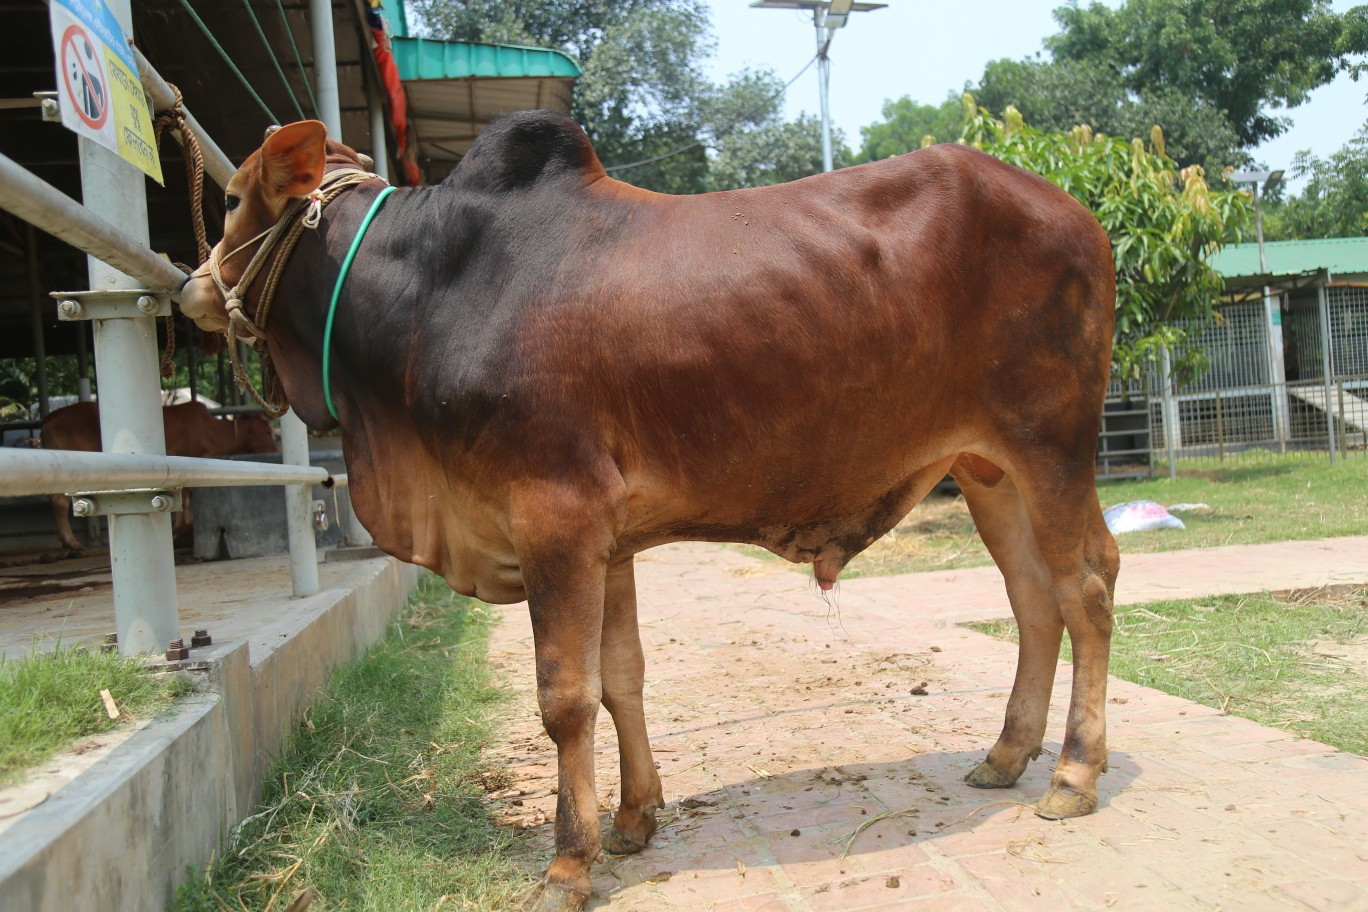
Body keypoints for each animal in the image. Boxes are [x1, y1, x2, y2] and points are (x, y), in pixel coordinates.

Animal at [41, 400, 277, 550]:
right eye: (267, 431)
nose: (275, 448)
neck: (209, 430)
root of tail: (51, 416)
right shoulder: (184, 457)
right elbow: (187, 496)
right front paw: (179, 529)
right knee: (59, 503)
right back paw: (72, 543)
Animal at [177, 113, 1120, 912]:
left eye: (230, 200)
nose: (189, 288)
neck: (432, 295)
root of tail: (1079, 213)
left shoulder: (554, 519)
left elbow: (566, 696)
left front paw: (568, 864)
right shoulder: (609, 540)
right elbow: (621, 675)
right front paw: (634, 820)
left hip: (1052, 446)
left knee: (1087, 589)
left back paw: (1073, 777)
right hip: (989, 470)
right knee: (1034, 598)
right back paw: (1006, 756)